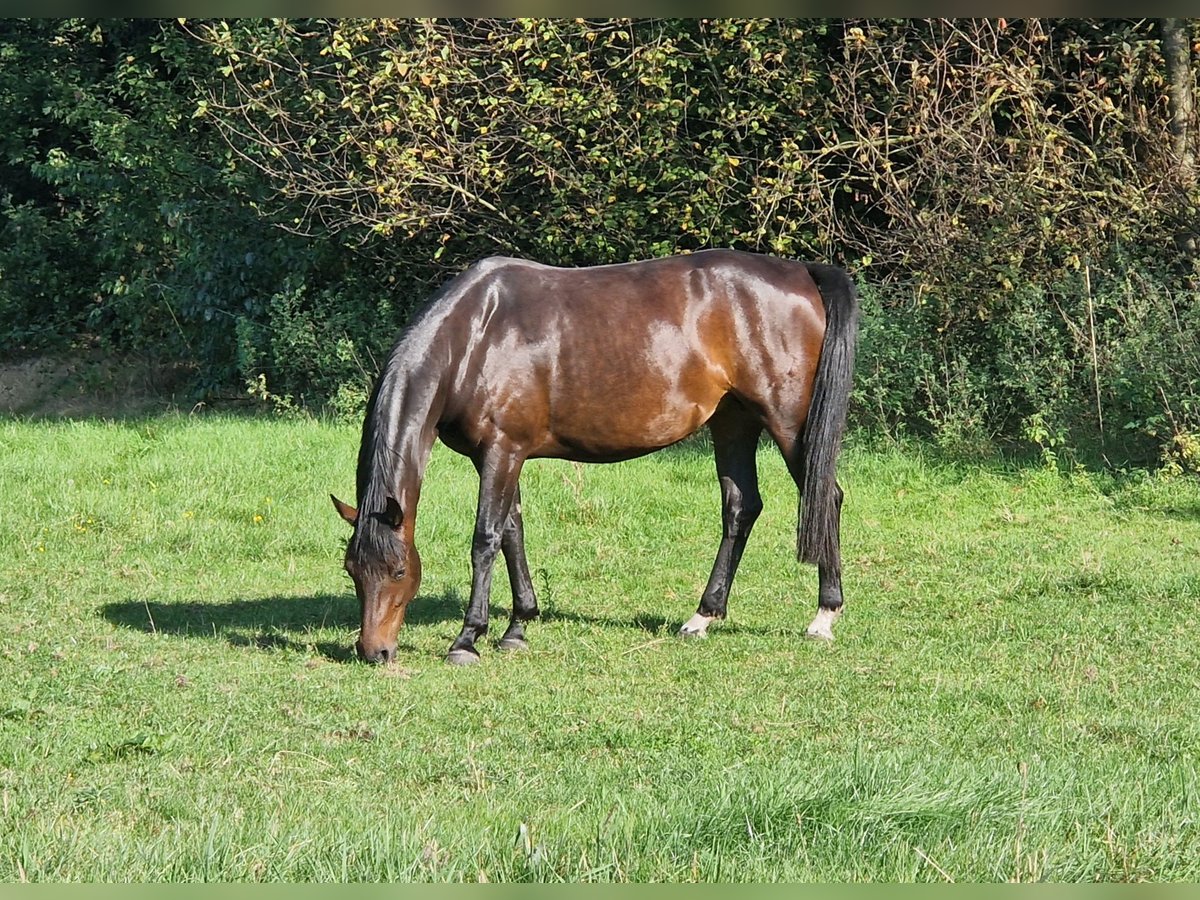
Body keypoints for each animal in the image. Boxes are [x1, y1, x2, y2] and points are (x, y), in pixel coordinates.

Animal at [333, 250, 859, 667]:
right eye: (352, 571)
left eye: (399, 572)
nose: (374, 652)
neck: (475, 336)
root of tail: (803, 272)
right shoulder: (504, 455)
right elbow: (512, 533)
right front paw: (518, 627)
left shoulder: (502, 451)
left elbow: (485, 539)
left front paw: (468, 639)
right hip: (733, 422)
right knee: (741, 507)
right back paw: (702, 617)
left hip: (788, 424)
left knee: (827, 497)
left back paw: (824, 615)